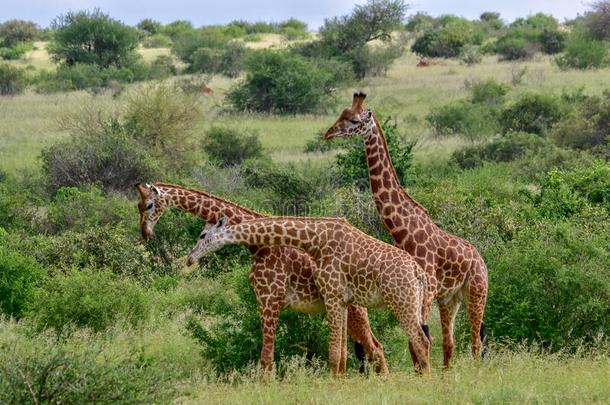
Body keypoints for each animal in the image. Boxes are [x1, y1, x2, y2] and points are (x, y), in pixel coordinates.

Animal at [135, 183, 388, 376]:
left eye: (148, 205)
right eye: (137, 205)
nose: (145, 233)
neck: (258, 246)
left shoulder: (269, 299)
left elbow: (266, 357)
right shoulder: (263, 300)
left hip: (354, 310)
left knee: (375, 349)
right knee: (369, 348)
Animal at [188, 215, 430, 376]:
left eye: (202, 235)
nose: (190, 258)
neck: (315, 240)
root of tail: (418, 272)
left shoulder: (331, 295)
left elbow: (333, 353)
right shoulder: (342, 300)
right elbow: (341, 353)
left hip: (401, 301)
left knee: (420, 340)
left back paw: (427, 380)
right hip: (410, 303)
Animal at [324, 93, 490, 368]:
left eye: (354, 120)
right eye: (341, 114)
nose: (329, 133)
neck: (404, 233)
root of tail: (480, 259)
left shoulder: (426, 291)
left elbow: (421, 340)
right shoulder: (419, 294)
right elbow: (416, 344)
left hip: (476, 291)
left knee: (476, 342)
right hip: (450, 300)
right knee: (450, 343)